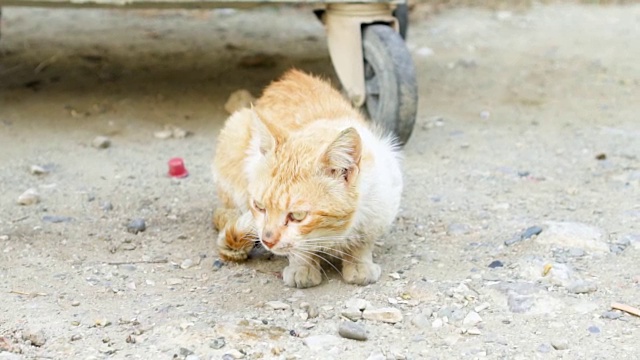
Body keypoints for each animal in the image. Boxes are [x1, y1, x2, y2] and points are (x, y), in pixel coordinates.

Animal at [215, 69, 404, 290]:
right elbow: (300, 250)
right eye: (259, 206)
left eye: (297, 216)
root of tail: (289, 75)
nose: (268, 240)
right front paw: (303, 267)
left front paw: (359, 264)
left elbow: (364, 241)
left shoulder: (384, 200)